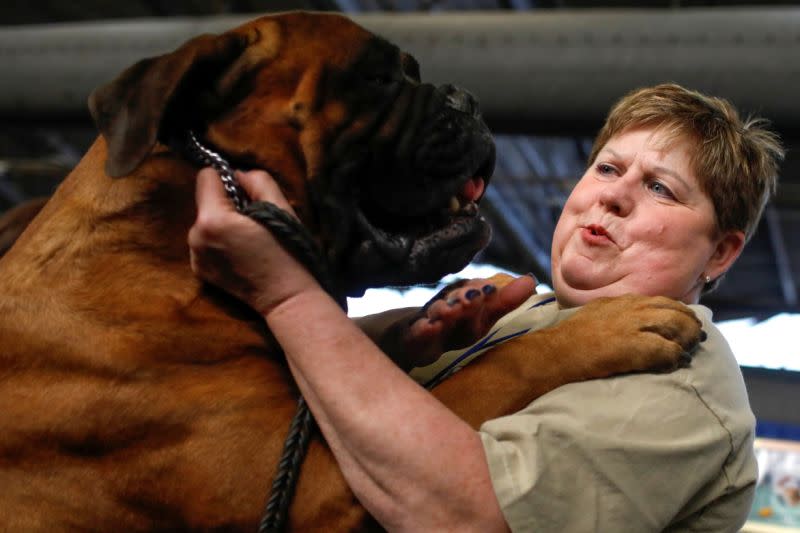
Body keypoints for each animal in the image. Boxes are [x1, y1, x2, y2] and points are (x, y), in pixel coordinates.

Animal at [0, 10, 700, 528]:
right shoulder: (309, 486)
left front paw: (451, 313)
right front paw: (612, 325)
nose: (467, 98)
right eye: (378, 79)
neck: (167, 242)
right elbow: (498, 369)